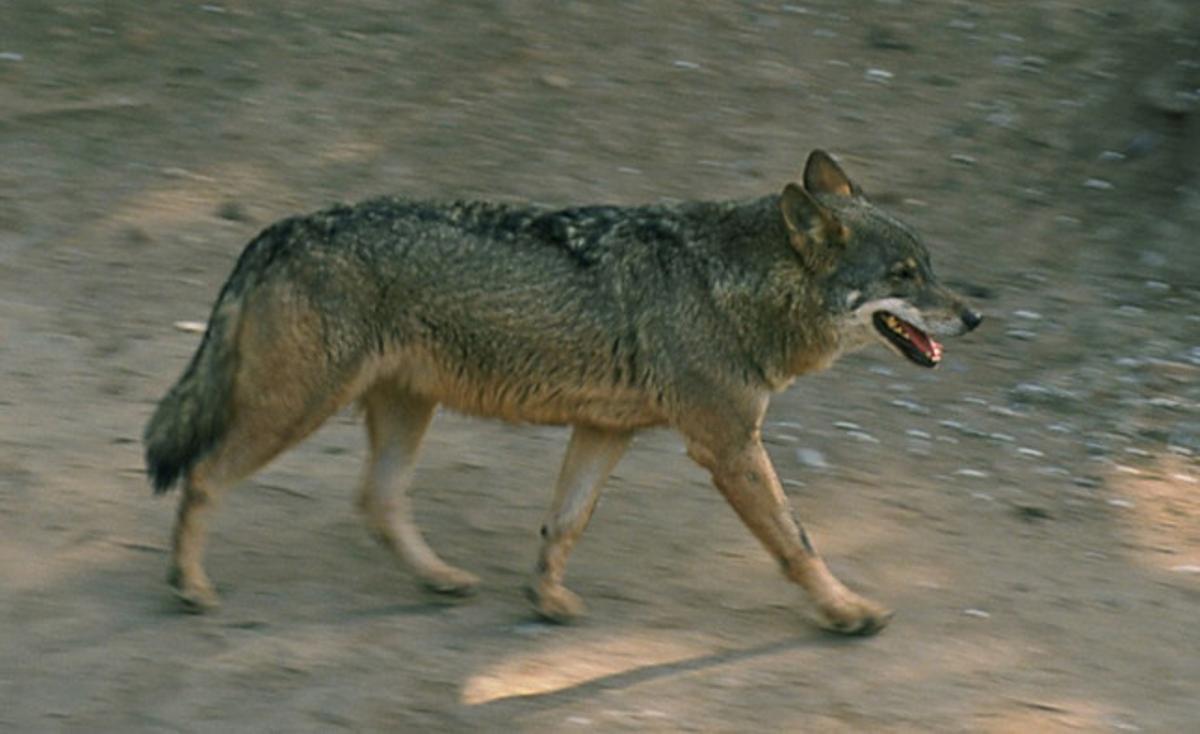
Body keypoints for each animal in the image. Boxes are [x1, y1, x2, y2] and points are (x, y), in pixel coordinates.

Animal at [145, 150, 979, 638]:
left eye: (931, 267)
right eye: (904, 275)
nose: (974, 316)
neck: (733, 286)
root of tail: (277, 230)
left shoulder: (605, 432)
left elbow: (562, 527)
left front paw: (544, 601)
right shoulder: (729, 447)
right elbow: (798, 542)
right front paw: (846, 611)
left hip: (403, 412)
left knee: (375, 501)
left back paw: (441, 578)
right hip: (297, 411)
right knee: (203, 476)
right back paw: (189, 586)